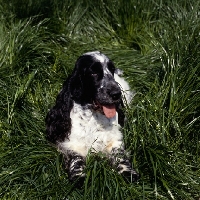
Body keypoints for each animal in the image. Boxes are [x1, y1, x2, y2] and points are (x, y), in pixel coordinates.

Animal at [46, 51, 138, 183]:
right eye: (93, 72)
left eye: (111, 69)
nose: (116, 94)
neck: (93, 116)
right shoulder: (71, 144)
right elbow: (76, 158)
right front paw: (78, 175)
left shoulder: (114, 139)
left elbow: (119, 154)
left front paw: (128, 172)